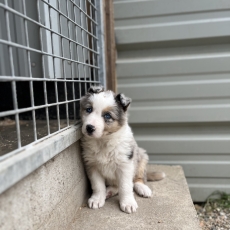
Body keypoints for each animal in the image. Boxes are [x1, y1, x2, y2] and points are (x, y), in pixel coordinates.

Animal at [80, 86, 164, 214]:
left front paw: (128, 203)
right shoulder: (92, 165)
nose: (89, 127)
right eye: (89, 109)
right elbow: (98, 185)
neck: (104, 141)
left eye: (107, 116)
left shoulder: (125, 165)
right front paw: (97, 199)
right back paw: (108, 191)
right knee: (115, 186)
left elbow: (125, 186)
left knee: (137, 180)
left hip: (142, 157)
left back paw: (143, 188)